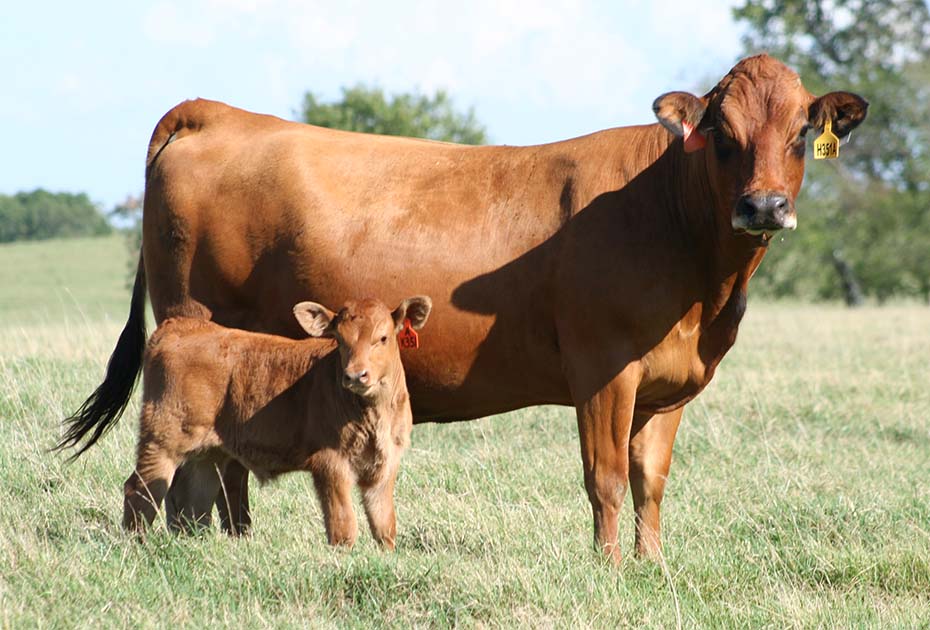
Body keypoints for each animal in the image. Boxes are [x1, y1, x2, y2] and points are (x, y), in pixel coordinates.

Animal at [118, 296, 432, 548]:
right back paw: (137, 544)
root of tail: (177, 326)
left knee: (195, 501)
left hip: (208, 454)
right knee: (141, 491)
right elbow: (343, 527)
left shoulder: (385, 464)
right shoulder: (330, 463)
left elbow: (384, 526)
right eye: (340, 340)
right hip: (162, 440)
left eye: (383, 338)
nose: (355, 375)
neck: (372, 414)